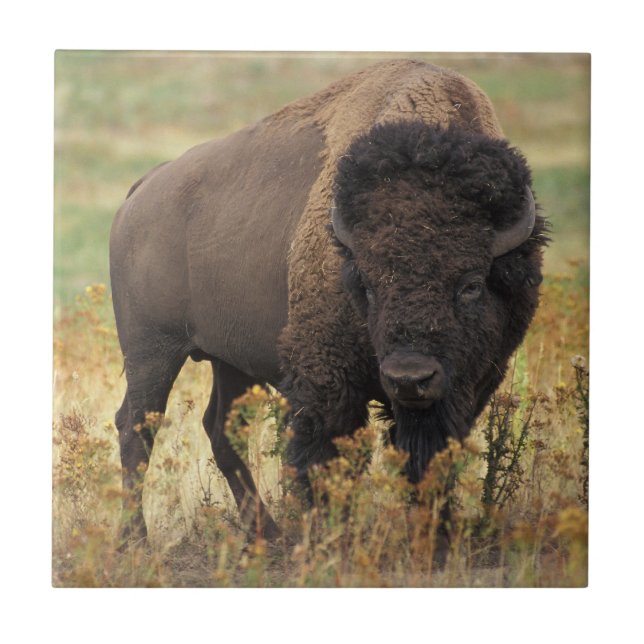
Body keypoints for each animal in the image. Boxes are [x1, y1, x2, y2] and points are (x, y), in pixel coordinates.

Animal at [110, 59, 548, 541]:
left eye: (471, 283)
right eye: (367, 284)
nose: (409, 377)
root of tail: (142, 190)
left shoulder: (468, 385)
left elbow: (430, 459)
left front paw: (436, 535)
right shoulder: (327, 383)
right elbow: (325, 459)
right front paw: (331, 536)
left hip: (229, 359)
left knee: (220, 428)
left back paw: (267, 535)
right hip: (152, 351)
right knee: (137, 426)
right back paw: (136, 540)